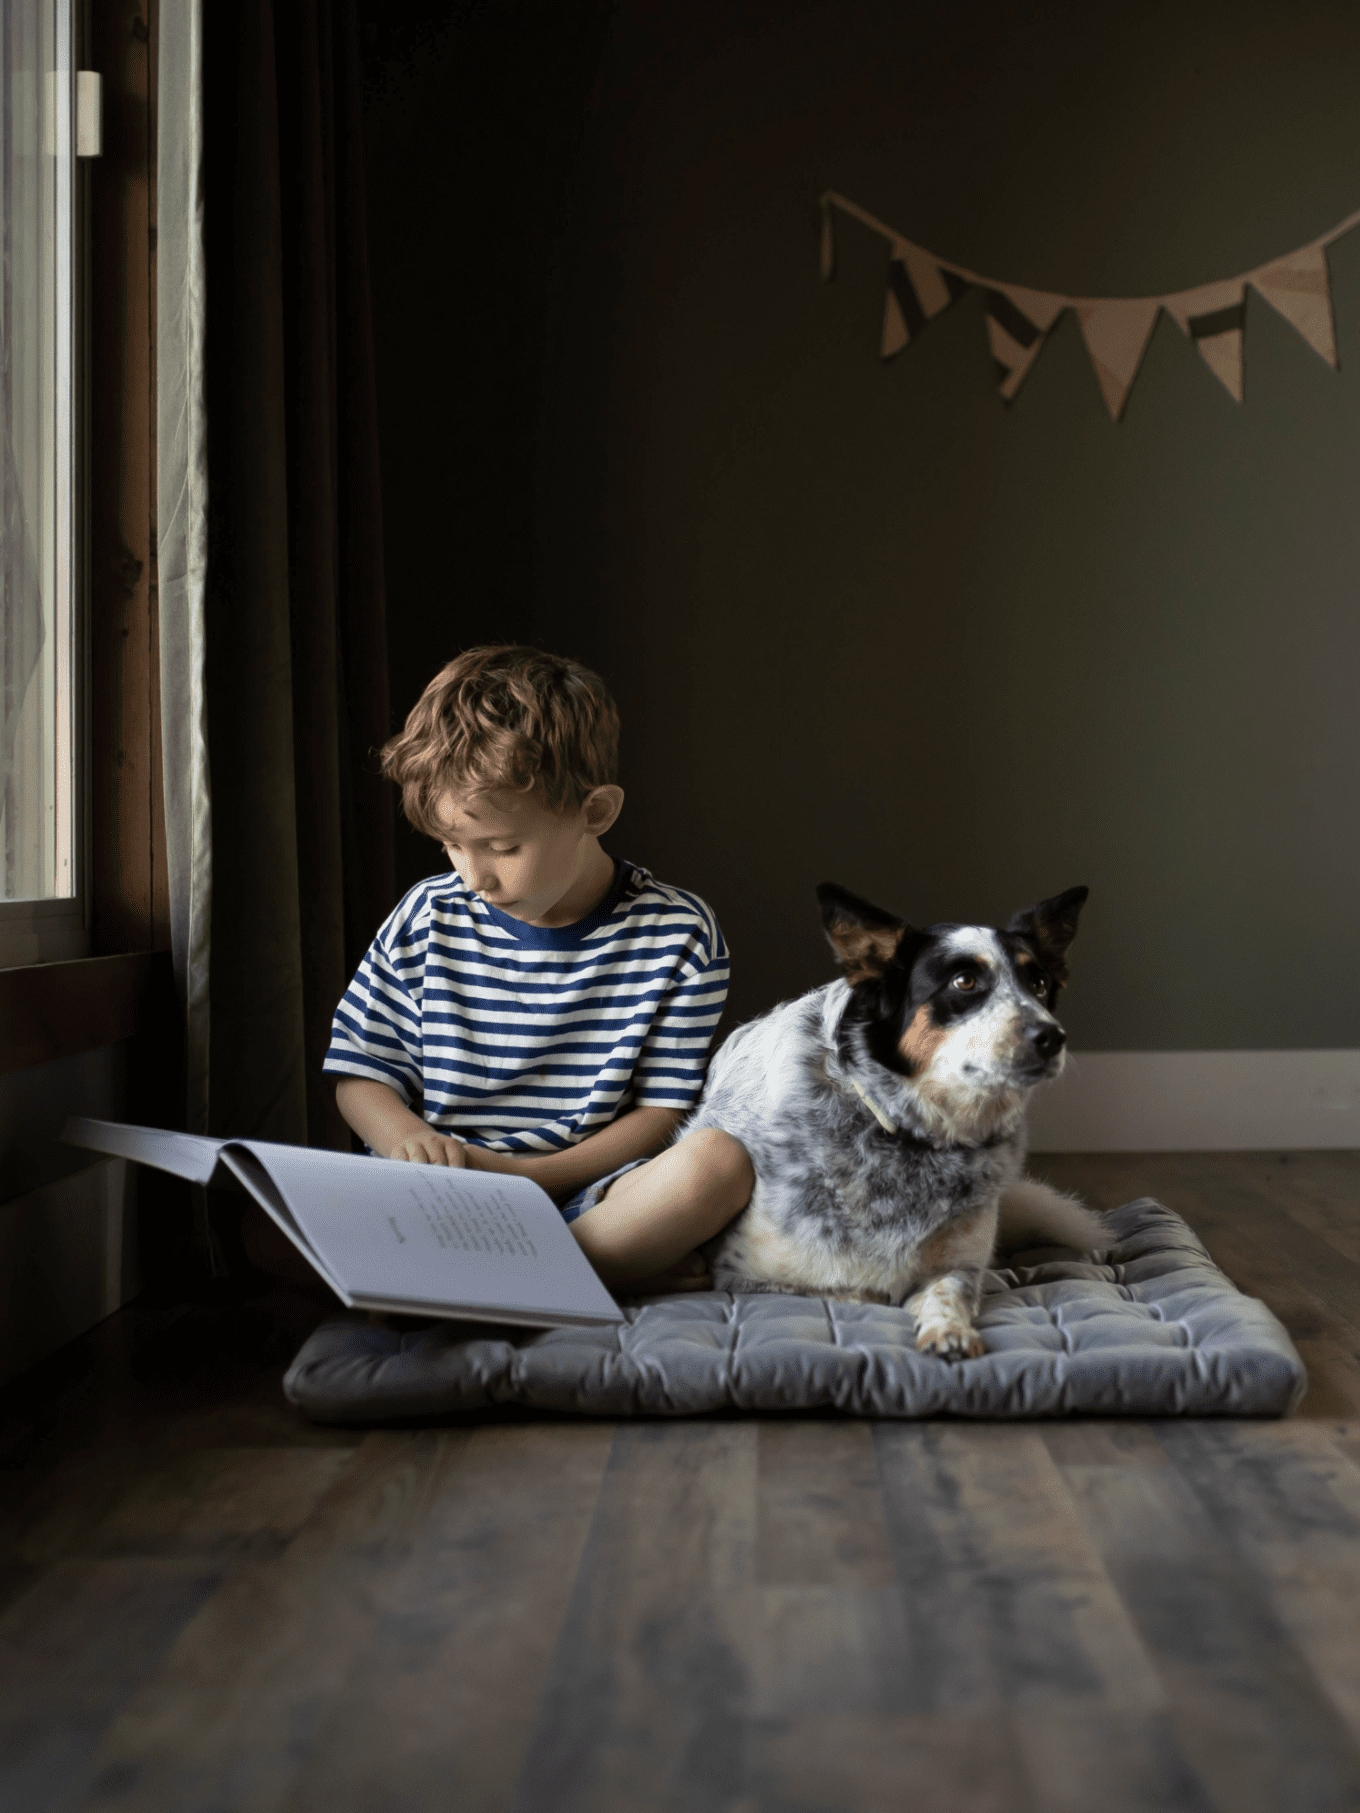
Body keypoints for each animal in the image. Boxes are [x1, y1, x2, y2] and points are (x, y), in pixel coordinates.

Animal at [692, 877, 1109, 1363]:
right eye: (964, 981)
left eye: (1039, 983)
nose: (1052, 1037)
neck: (911, 1135)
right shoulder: (744, 1277)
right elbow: (859, 1288)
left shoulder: (958, 1262)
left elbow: (951, 1288)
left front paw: (950, 1329)